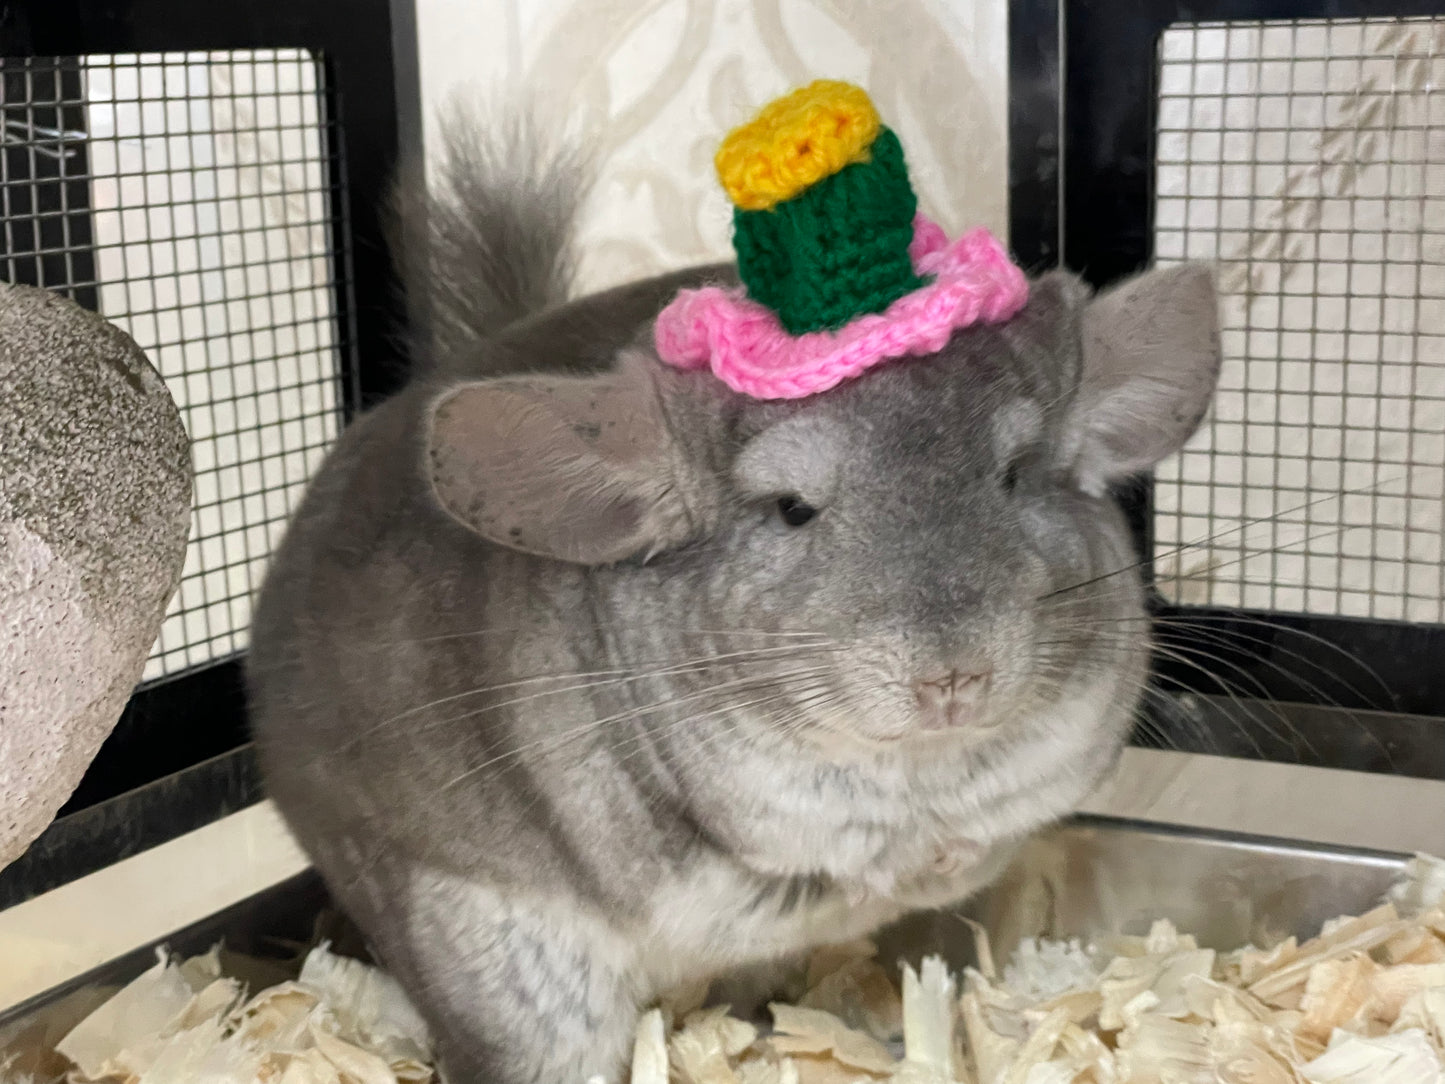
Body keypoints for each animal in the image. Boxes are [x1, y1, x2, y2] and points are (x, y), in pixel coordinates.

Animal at [246, 113, 1221, 1084]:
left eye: (1014, 475)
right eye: (790, 508)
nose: (953, 681)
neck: (917, 772)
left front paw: (945, 853)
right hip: (497, 967)